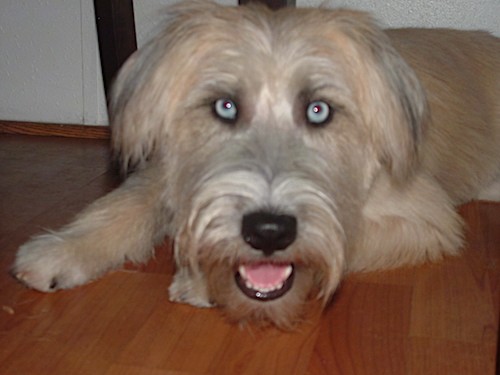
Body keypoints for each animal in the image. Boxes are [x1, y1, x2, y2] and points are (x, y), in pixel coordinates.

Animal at [11, 0, 500, 328]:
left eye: (319, 110)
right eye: (225, 106)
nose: (268, 231)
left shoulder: (427, 217)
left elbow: (343, 238)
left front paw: (203, 279)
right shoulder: (169, 171)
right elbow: (126, 204)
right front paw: (61, 249)